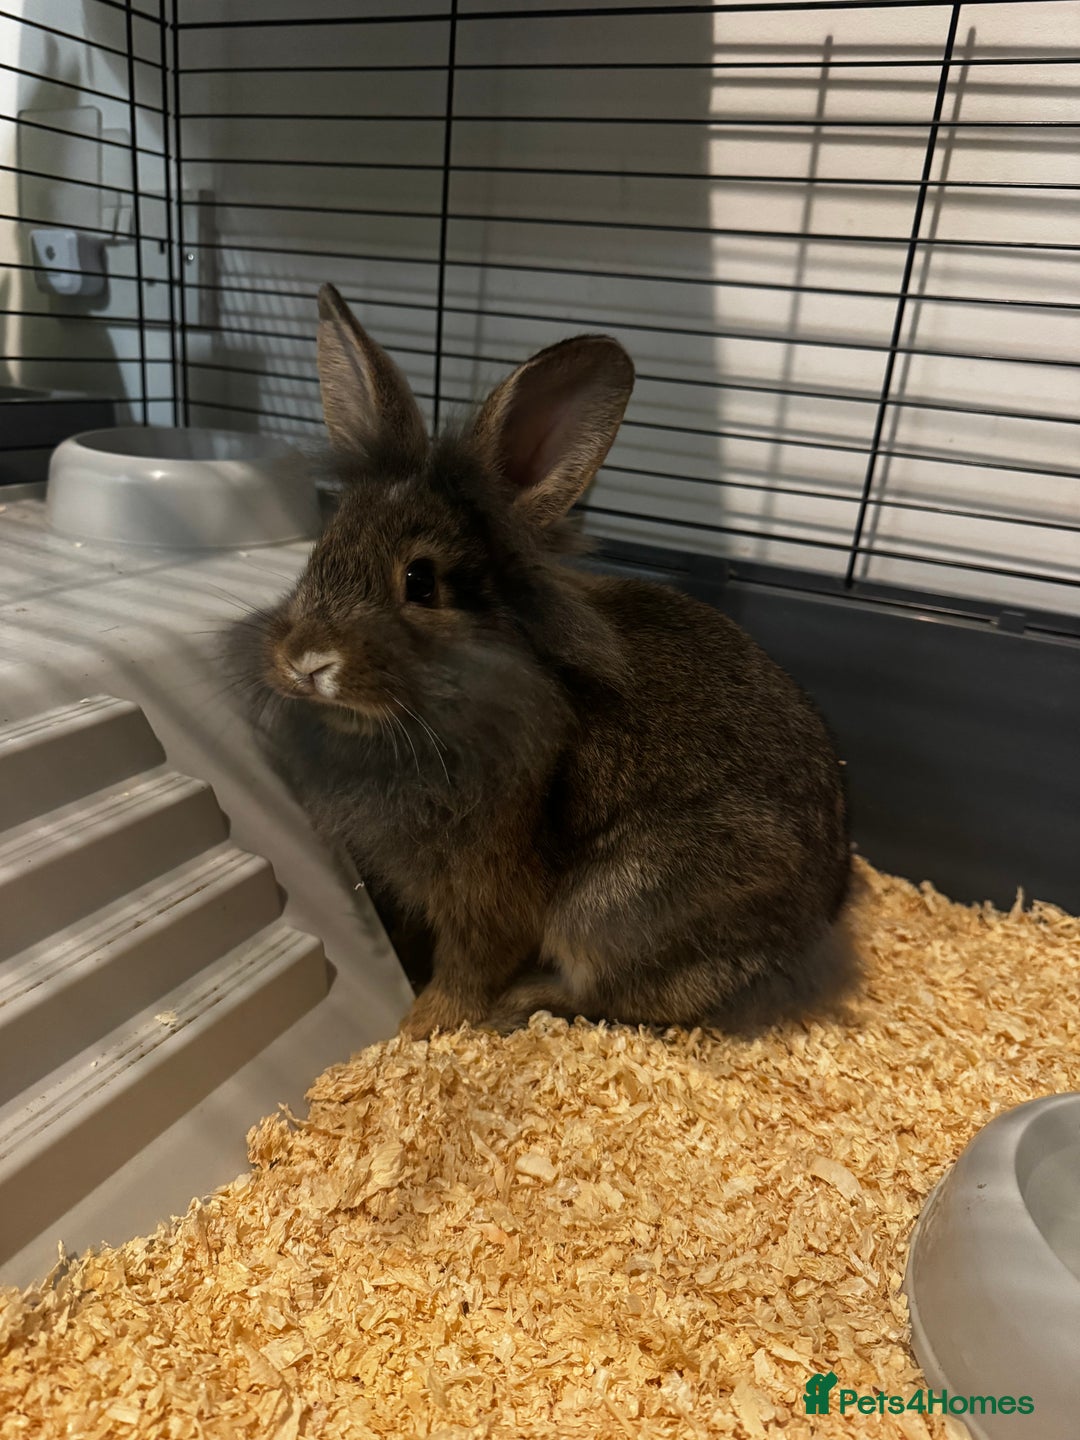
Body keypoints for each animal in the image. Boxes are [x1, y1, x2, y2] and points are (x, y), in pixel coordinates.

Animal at [227, 283, 857, 1040]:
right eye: (320, 549)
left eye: (421, 582)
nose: (306, 660)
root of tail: (818, 923)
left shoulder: (490, 892)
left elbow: (470, 965)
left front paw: (422, 1025)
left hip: (617, 907)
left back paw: (523, 1004)